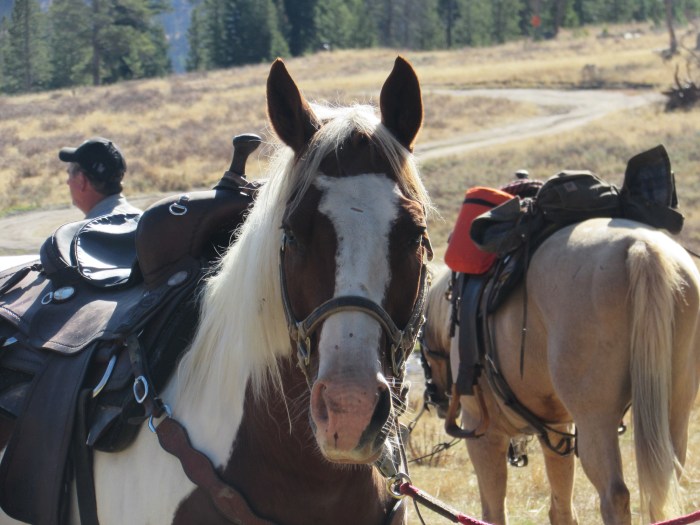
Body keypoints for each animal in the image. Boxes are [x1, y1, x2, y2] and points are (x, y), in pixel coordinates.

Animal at [420, 219, 700, 525]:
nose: (434, 397)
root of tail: (642, 248)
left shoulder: (484, 434)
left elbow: (493, 510)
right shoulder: (557, 429)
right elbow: (562, 507)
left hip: (594, 421)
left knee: (615, 494)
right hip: (673, 409)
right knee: (665, 480)